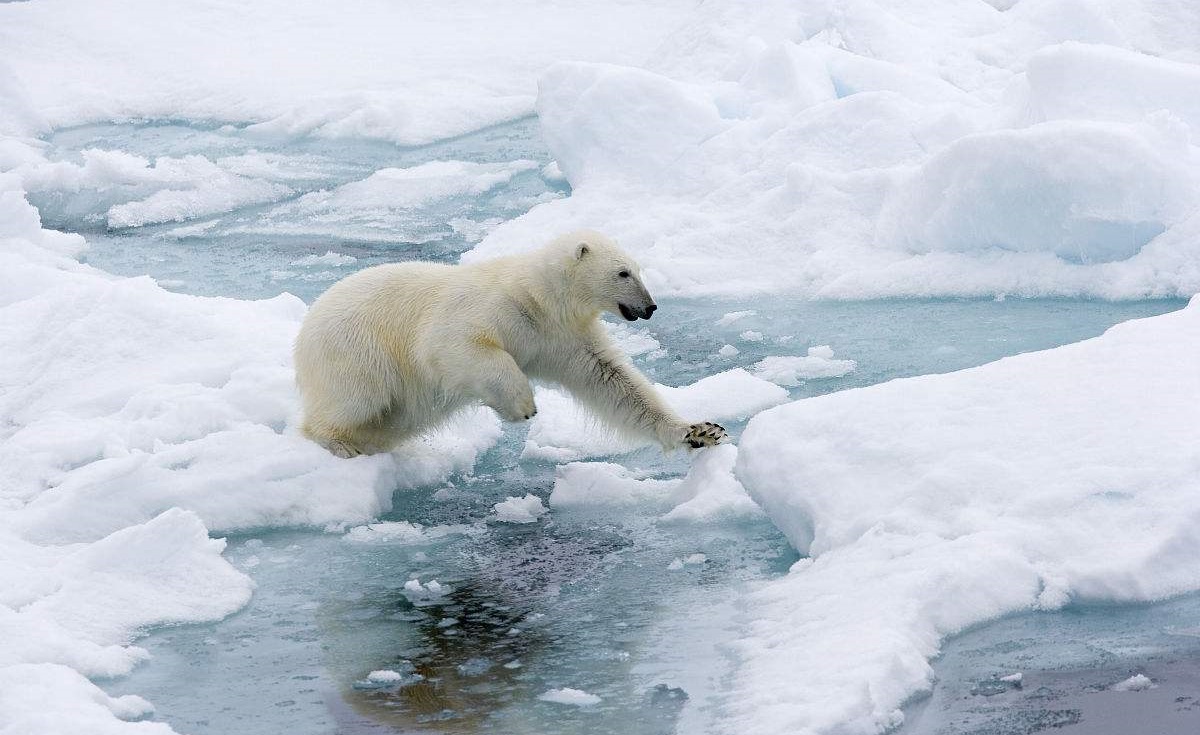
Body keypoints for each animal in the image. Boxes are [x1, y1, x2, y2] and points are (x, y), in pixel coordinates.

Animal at [295, 229, 724, 458]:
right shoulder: (494, 307)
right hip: (355, 350)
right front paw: (523, 406)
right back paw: (340, 443)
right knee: (357, 398)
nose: (650, 307)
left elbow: (613, 382)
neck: (540, 297)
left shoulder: (565, 337)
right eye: (623, 272)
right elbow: (452, 345)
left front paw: (700, 431)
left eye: (637, 269)